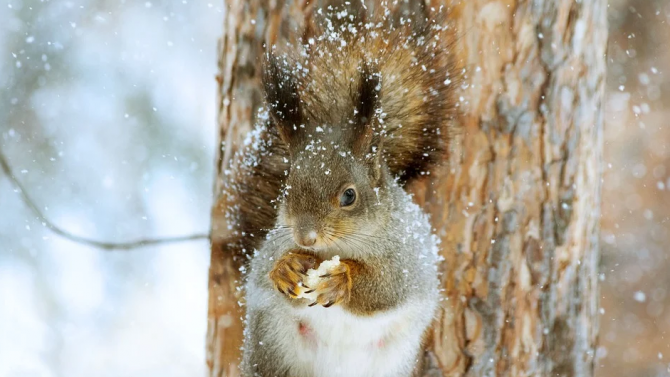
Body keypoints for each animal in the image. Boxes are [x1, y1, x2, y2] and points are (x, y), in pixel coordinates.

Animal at [238, 9, 462, 376]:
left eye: (349, 196)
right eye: (286, 189)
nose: (305, 237)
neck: (338, 247)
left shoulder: (408, 259)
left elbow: (386, 288)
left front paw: (341, 279)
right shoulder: (272, 245)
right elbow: (264, 269)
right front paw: (285, 268)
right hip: (271, 345)